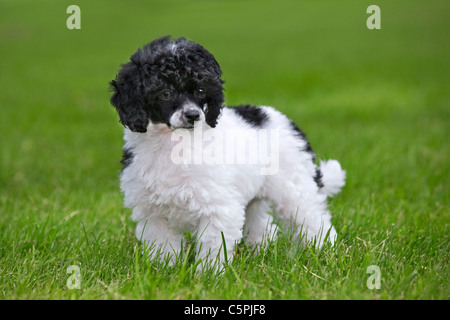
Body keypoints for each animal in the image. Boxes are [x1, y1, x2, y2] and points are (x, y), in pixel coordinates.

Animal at [110, 35, 346, 270]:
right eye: (165, 93)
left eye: (201, 91)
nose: (193, 115)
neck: (174, 142)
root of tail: (284, 120)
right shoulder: (153, 212)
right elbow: (162, 245)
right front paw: (163, 270)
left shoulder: (218, 208)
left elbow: (213, 245)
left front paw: (209, 273)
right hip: (254, 197)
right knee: (263, 224)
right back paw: (260, 251)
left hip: (294, 188)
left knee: (313, 218)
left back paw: (327, 251)